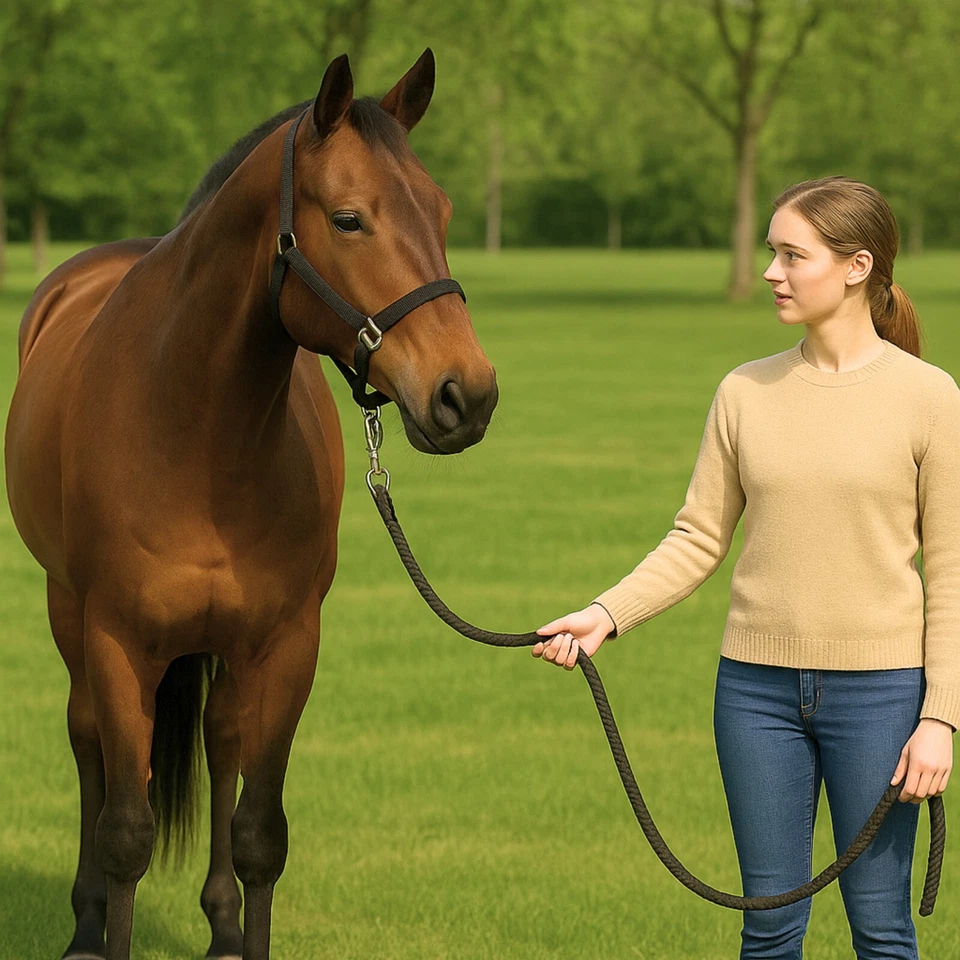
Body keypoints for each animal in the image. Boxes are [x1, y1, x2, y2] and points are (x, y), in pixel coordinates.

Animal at [4, 48, 498, 960]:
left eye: (444, 210)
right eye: (349, 219)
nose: (467, 394)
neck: (197, 435)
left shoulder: (288, 644)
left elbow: (259, 832)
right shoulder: (118, 642)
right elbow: (125, 832)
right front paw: (105, 920)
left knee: (219, 740)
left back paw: (222, 923)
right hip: (68, 615)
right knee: (88, 741)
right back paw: (84, 922)